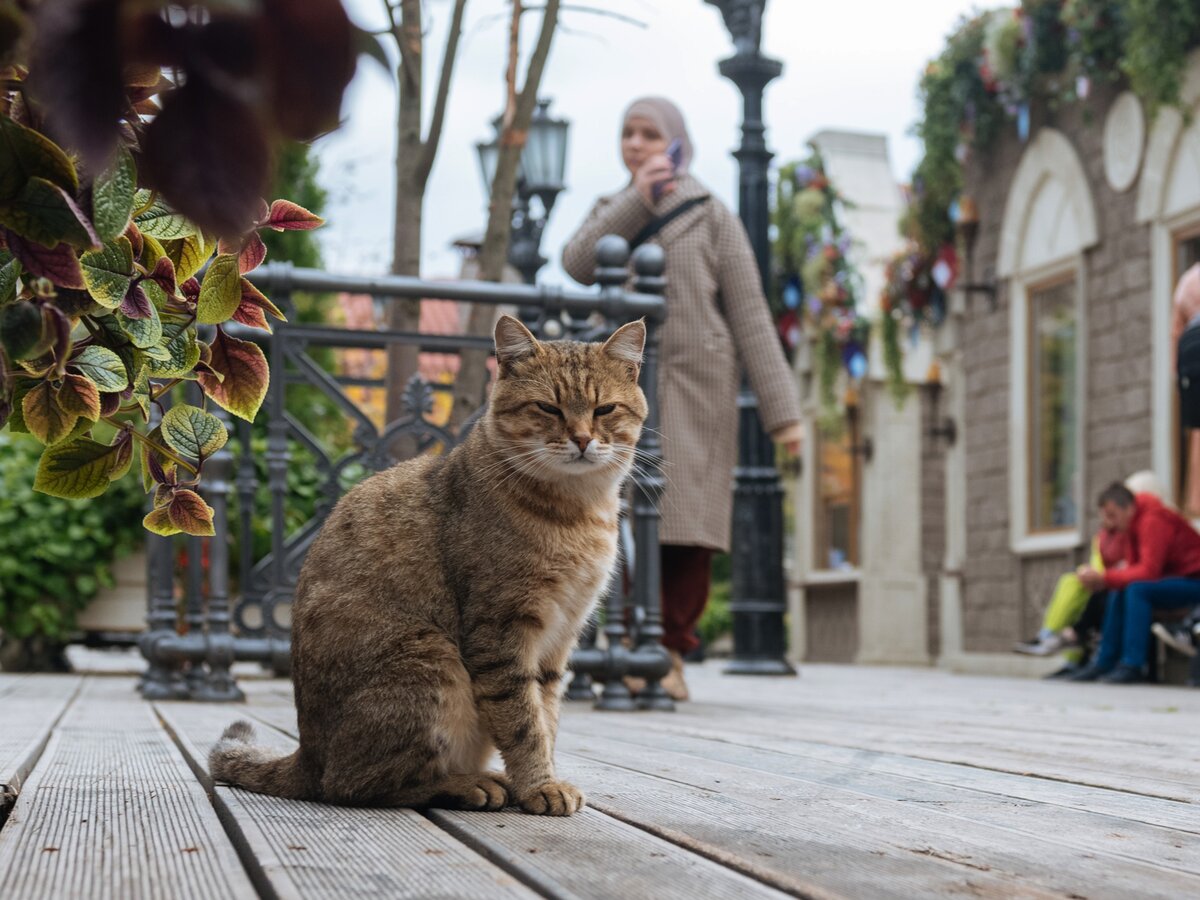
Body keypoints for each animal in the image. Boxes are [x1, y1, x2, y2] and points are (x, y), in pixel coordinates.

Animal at [211, 316, 652, 816]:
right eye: (548, 408)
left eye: (605, 409)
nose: (581, 439)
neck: (579, 511)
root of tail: (306, 754)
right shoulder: (501, 631)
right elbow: (523, 721)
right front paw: (539, 785)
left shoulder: (560, 637)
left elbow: (548, 714)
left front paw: (543, 777)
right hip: (430, 658)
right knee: (352, 784)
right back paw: (465, 784)